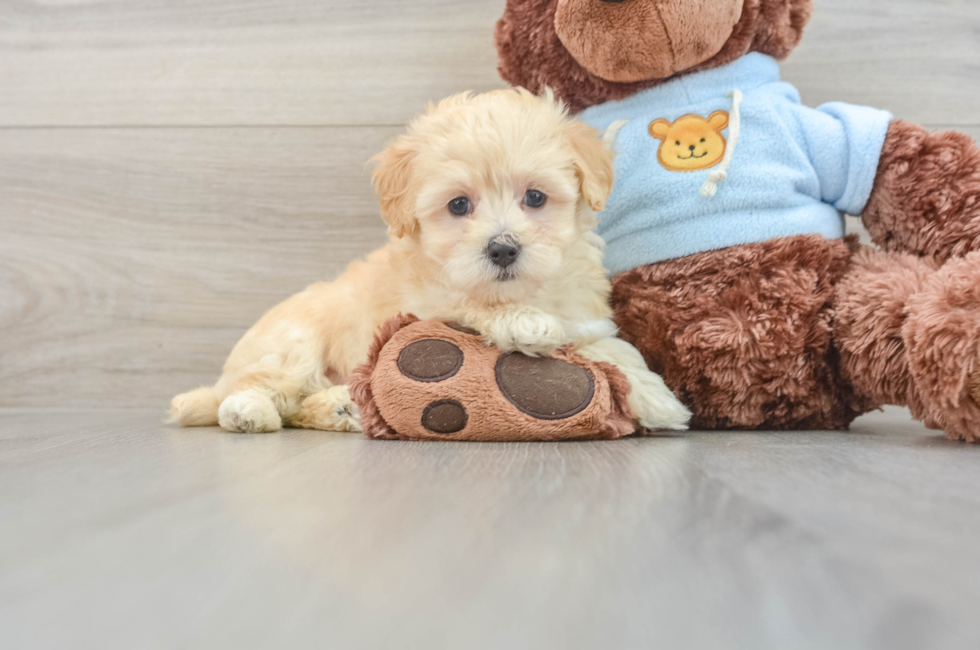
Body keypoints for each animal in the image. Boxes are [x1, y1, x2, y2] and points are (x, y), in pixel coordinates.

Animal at [168, 86, 688, 430]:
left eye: (536, 198)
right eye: (458, 205)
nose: (503, 248)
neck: (521, 289)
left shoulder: (586, 319)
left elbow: (614, 350)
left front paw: (659, 399)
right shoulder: (426, 304)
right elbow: (469, 305)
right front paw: (525, 323)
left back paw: (342, 407)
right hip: (293, 341)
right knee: (262, 385)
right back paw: (247, 410)